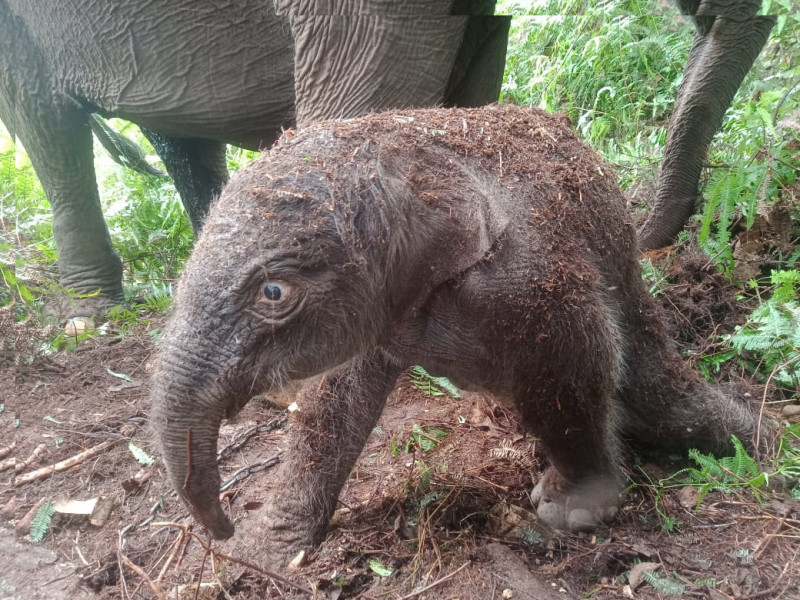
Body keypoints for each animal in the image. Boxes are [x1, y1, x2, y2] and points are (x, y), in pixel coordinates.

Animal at [151, 105, 758, 563]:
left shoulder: (532, 276)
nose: (222, 528)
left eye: (273, 292)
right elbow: (331, 401)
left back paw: (760, 443)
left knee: (664, 398)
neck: (402, 143)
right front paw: (269, 552)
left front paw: (572, 509)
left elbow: (575, 363)